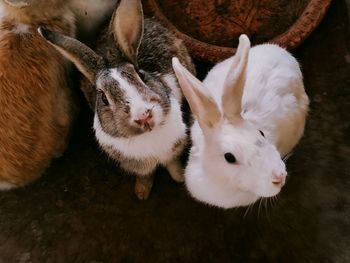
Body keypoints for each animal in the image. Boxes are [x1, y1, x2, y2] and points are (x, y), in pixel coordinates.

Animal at [39, 0, 196, 200]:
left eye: (141, 75)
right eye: (103, 98)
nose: (144, 115)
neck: (148, 136)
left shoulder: (175, 147)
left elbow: (172, 163)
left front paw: (179, 178)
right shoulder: (138, 165)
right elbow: (145, 175)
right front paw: (141, 192)